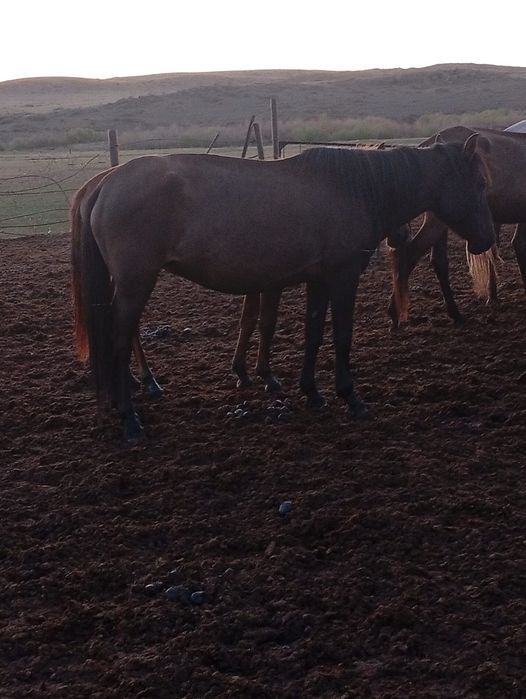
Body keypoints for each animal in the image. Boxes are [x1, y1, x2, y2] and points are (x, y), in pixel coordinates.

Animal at [71, 136, 494, 442]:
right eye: (478, 183)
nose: (487, 239)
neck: (352, 189)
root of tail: (107, 181)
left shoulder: (318, 280)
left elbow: (312, 335)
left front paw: (313, 393)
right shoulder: (342, 277)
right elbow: (341, 337)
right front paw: (350, 397)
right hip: (135, 283)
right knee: (118, 339)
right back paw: (130, 418)